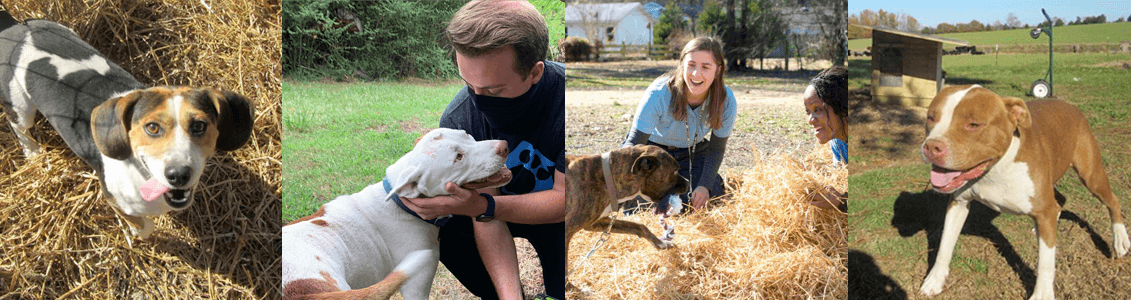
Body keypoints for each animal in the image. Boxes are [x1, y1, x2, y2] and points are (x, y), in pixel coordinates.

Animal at [0, 19, 252, 237]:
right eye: (152, 128)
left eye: (199, 126)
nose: (178, 174)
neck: (142, 172)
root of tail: (15, 26)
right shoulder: (114, 199)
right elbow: (144, 225)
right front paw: (138, 233)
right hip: (20, 106)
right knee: (19, 126)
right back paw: (33, 152)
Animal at [282, 127, 513, 298]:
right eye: (458, 157)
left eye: (467, 135)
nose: (503, 146)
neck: (400, 202)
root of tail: (308, 294)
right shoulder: (416, 288)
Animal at [918, 83, 1121, 298]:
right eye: (931, 118)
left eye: (973, 125)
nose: (931, 146)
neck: (996, 168)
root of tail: (1069, 105)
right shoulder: (958, 203)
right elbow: (945, 245)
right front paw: (935, 280)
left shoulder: (1044, 210)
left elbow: (1045, 262)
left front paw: (1042, 294)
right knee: (1059, 202)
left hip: (1091, 175)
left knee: (1112, 201)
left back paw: (1120, 241)